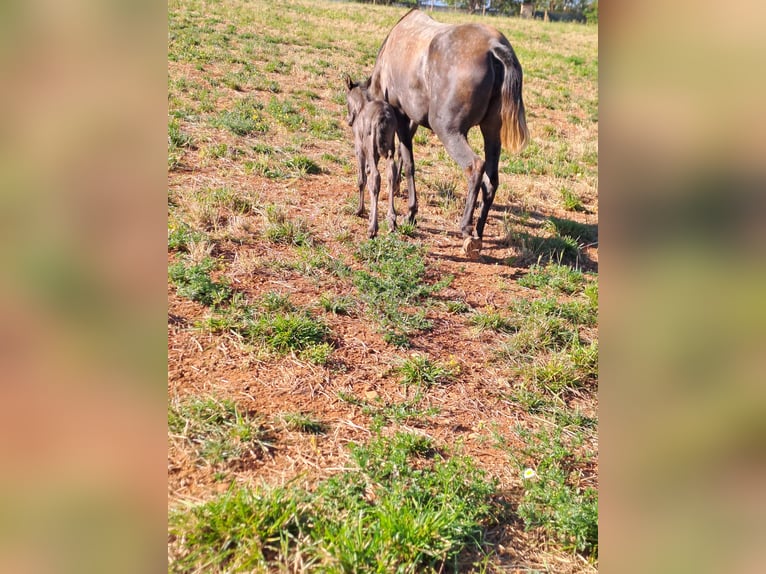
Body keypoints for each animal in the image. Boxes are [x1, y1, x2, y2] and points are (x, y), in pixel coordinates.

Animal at [344, 76, 400, 238]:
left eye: (346, 99)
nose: (349, 120)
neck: (361, 105)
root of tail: (383, 118)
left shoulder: (359, 148)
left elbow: (362, 178)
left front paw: (360, 210)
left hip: (370, 146)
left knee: (376, 176)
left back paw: (373, 228)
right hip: (390, 148)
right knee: (391, 173)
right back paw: (391, 220)